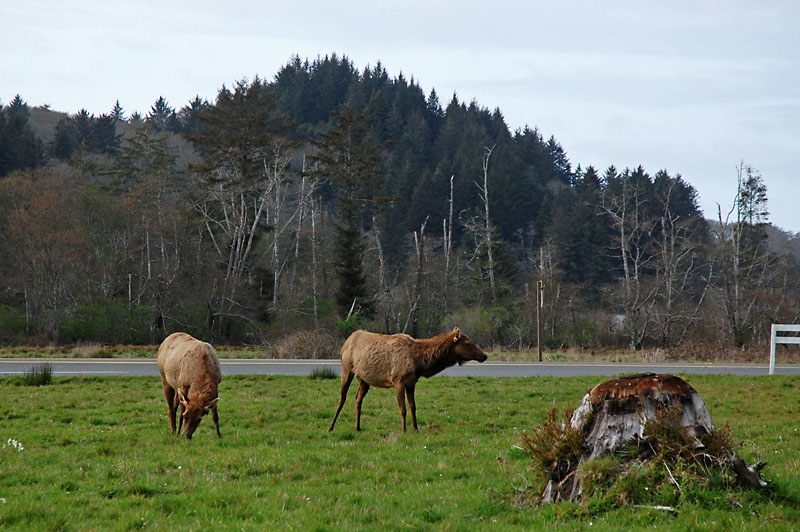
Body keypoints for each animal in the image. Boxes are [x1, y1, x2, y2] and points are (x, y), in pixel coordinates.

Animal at [326, 328, 488, 432]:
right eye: (467, 343)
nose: (484, 356)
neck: (419, 363)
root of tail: (345, 343)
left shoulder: (411, 383)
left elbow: (413, 406)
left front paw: (416, 428)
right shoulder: (398, 381)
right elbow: (402, 408)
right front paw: (404, 429)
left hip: (363, 379)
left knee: (358, 399)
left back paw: (357, 427)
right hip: (346, 368)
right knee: (342, 398)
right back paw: (331, 426)